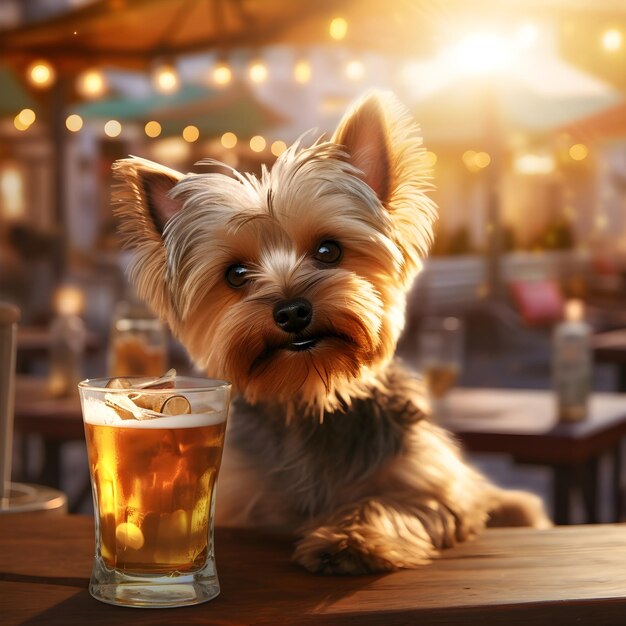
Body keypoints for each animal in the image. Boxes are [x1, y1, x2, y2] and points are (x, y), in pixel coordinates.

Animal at [112, 90, 544, 572]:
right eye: (236, 274)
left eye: (328, 251)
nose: (291, 311)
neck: (311, 392)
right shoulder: (237, 503)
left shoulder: (440, 486)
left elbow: (395, 501)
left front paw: (349, 540)